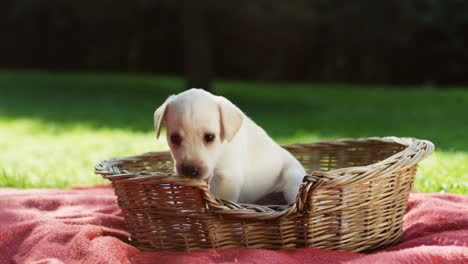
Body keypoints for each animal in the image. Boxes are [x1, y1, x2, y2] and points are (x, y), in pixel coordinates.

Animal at [154, 88, 308, 204]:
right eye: (174, 138)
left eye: (210, 137)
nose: (191, 170)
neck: (220, 152)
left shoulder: (227, 178)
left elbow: (222, 199)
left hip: (292, 178)